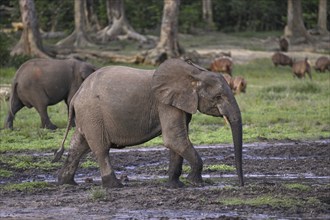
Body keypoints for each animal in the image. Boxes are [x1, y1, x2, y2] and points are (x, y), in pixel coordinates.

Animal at [52, 58, 244, 189]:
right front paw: (195, 183)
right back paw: (114, 185)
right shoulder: (164, 103)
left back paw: (65, 182)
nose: (241, 184)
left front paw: (175, 185)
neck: (194, 72)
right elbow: (174, 138)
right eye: (218, 97)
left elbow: (177, 141)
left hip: (88, 116)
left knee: (78, 144)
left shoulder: (177, 103)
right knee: (100, 149)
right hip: (93, 114)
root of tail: (77, 94)